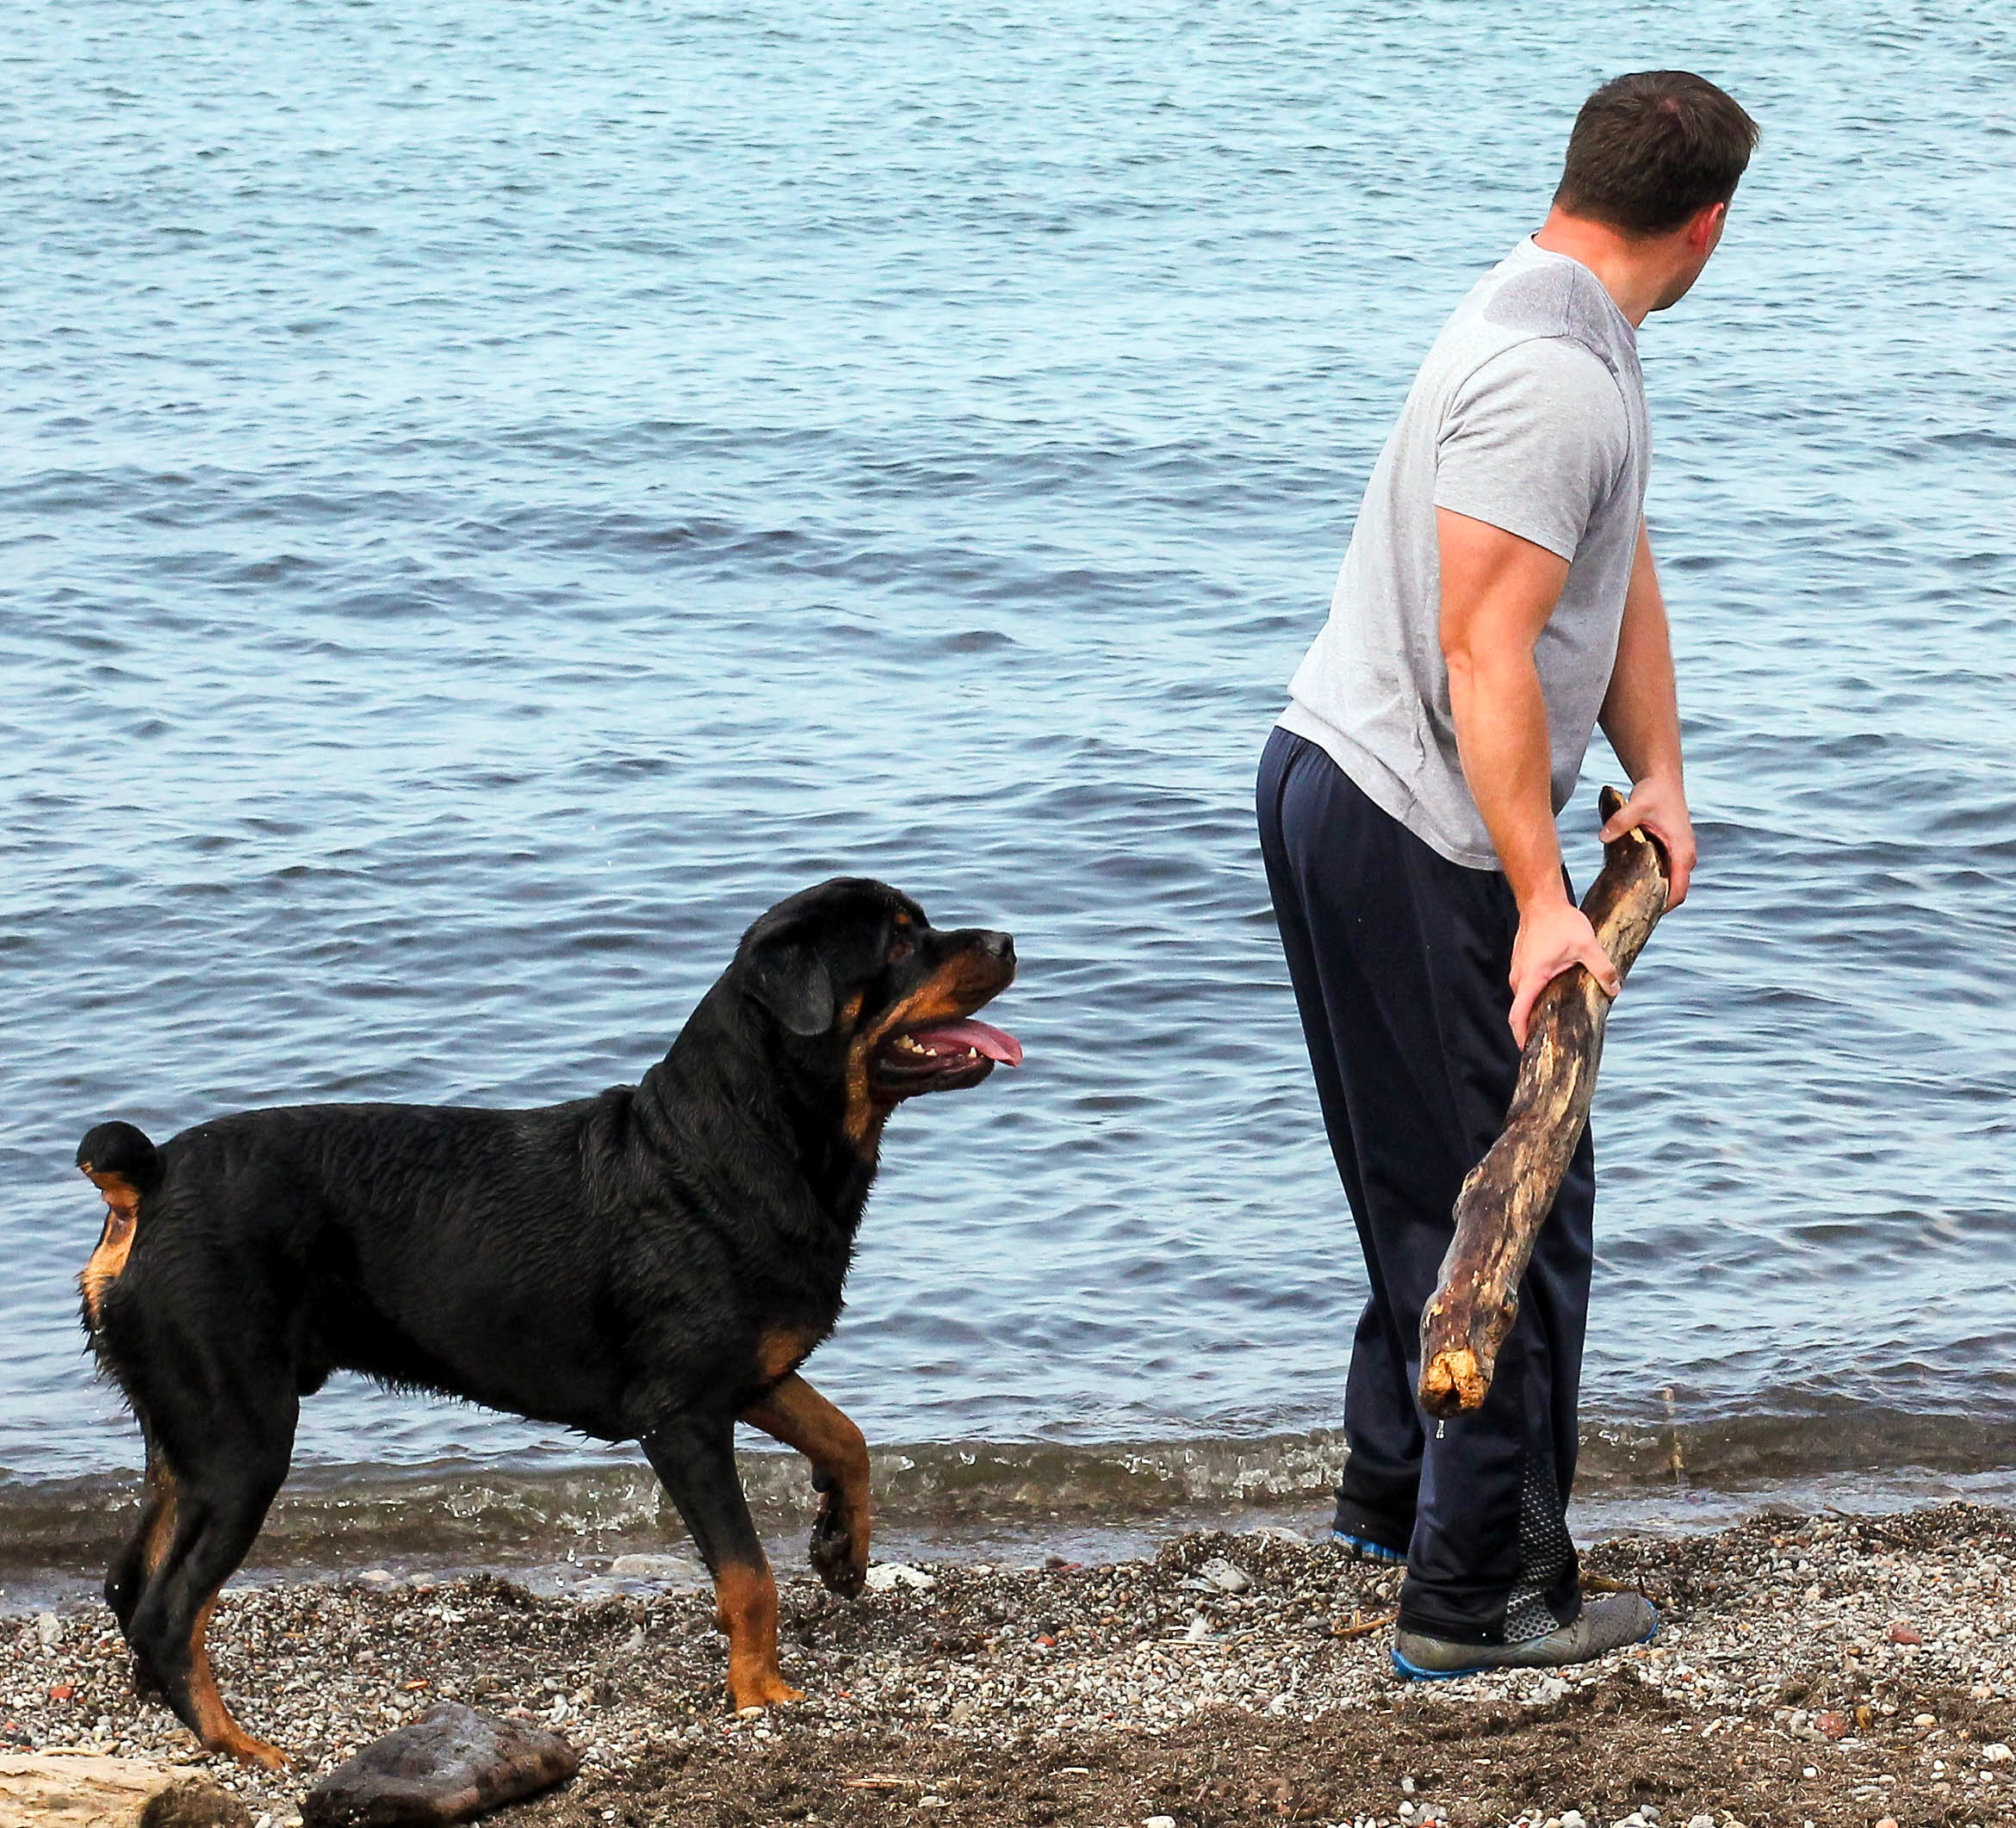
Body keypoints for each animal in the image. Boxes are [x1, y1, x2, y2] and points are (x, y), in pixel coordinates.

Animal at [75, 877, 1019, 1767]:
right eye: (897, 941)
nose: (1007, 939)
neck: (743, 1139)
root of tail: (148, 1180)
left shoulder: (748, 1372)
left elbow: (845, 1436)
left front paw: (841, 1546)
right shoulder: (680, 1415)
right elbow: (748, 1573)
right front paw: (759, 1691)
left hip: (189, 1432)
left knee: (130, 1578)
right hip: (243, 1438)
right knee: (166, 1604)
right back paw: (235, 1742)